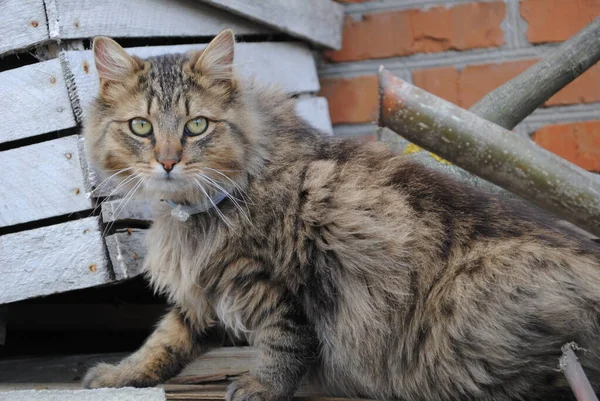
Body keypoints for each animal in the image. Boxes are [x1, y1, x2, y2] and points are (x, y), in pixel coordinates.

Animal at [81, 28, 600, 400]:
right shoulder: (204, 283)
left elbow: (283, 342)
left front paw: (262, 387)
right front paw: (120, 374)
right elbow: (164, 339)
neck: (196, 211)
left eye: (196, 126)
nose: (168, 162)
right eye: (141, 127)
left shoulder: (272, 281)